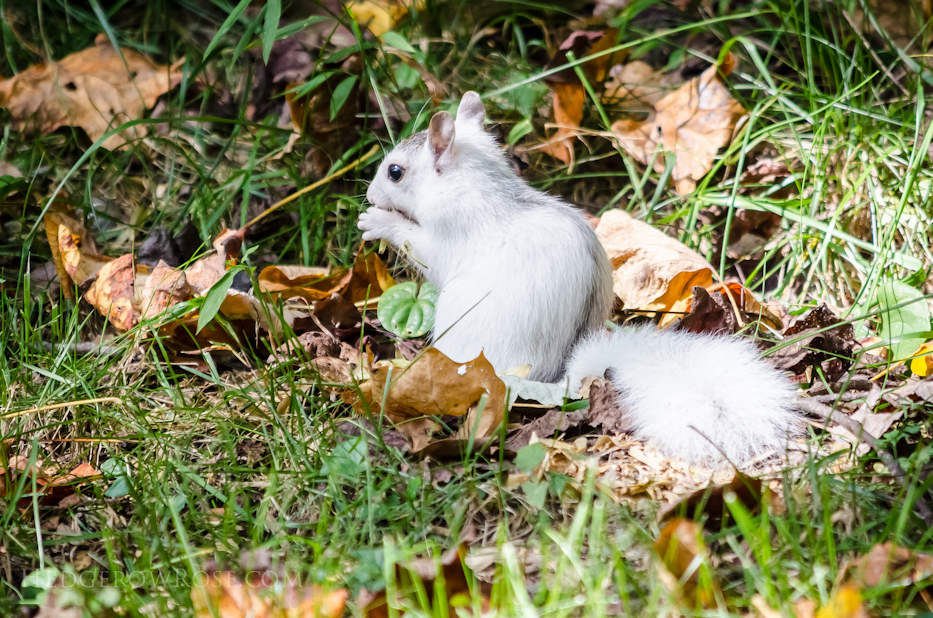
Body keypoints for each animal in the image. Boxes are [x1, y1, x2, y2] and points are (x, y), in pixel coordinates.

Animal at [360, 91, 796, 464]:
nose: (369, 196)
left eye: (395, 172)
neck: (475, 183)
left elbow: (424, 250)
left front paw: (377, 221)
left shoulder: (451, 231)